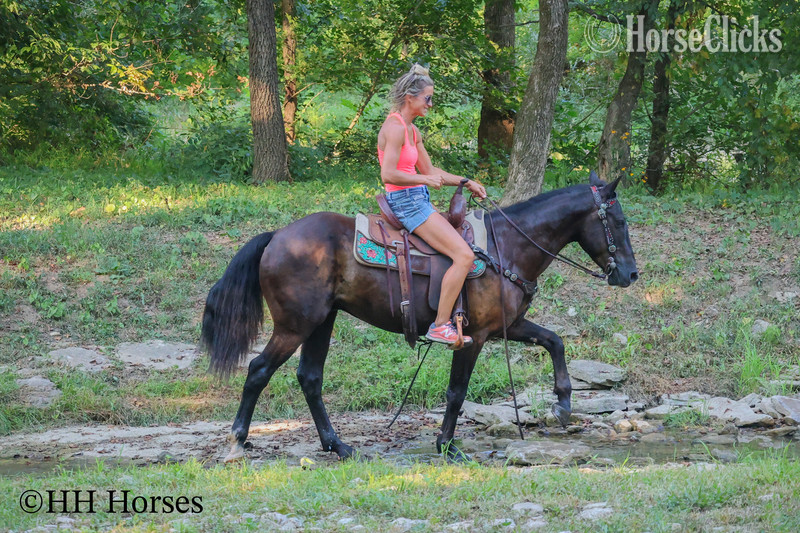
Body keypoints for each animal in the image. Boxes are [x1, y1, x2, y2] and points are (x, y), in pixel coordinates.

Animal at [201, 172, 639, 463]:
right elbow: (457, 391)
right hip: (295, 326)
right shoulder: (474, 336)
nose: (631, 275)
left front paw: (563, 403)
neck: (508, 246)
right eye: (618, 222)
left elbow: (554, 340)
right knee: (258, 370)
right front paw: (447, 445)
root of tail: (276, 236)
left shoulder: (507, 326)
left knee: (310, 378)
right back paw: (238, 441)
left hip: (321, 322)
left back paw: (337, 445)